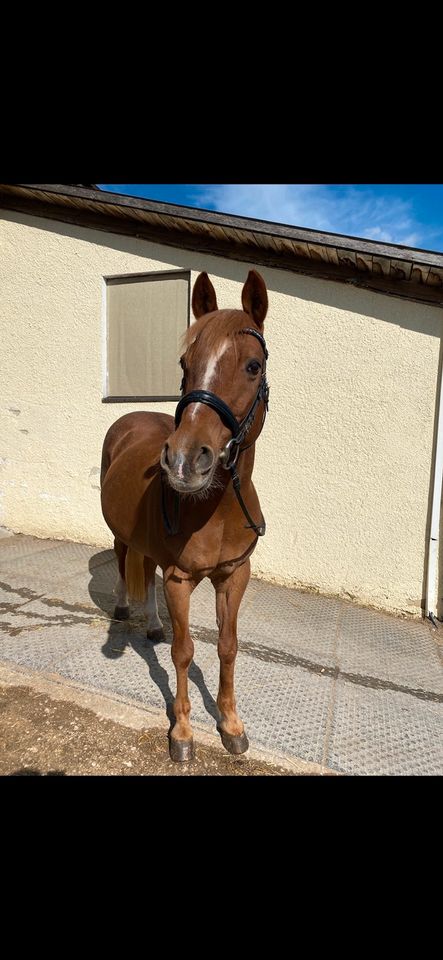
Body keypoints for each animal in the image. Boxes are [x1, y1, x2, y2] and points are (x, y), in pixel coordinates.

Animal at [101, 268, 270, 756]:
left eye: (253, 366)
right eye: (184, 364)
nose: (182, 461)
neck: (217, 509)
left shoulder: (234, 575)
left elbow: (227, 647)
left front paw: (231, 724)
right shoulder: (180, 580)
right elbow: (184, 651)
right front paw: (182, 731)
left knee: (147, 571)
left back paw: (154, 625)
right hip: (121, 536)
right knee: (125, 563)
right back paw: (125, 608)